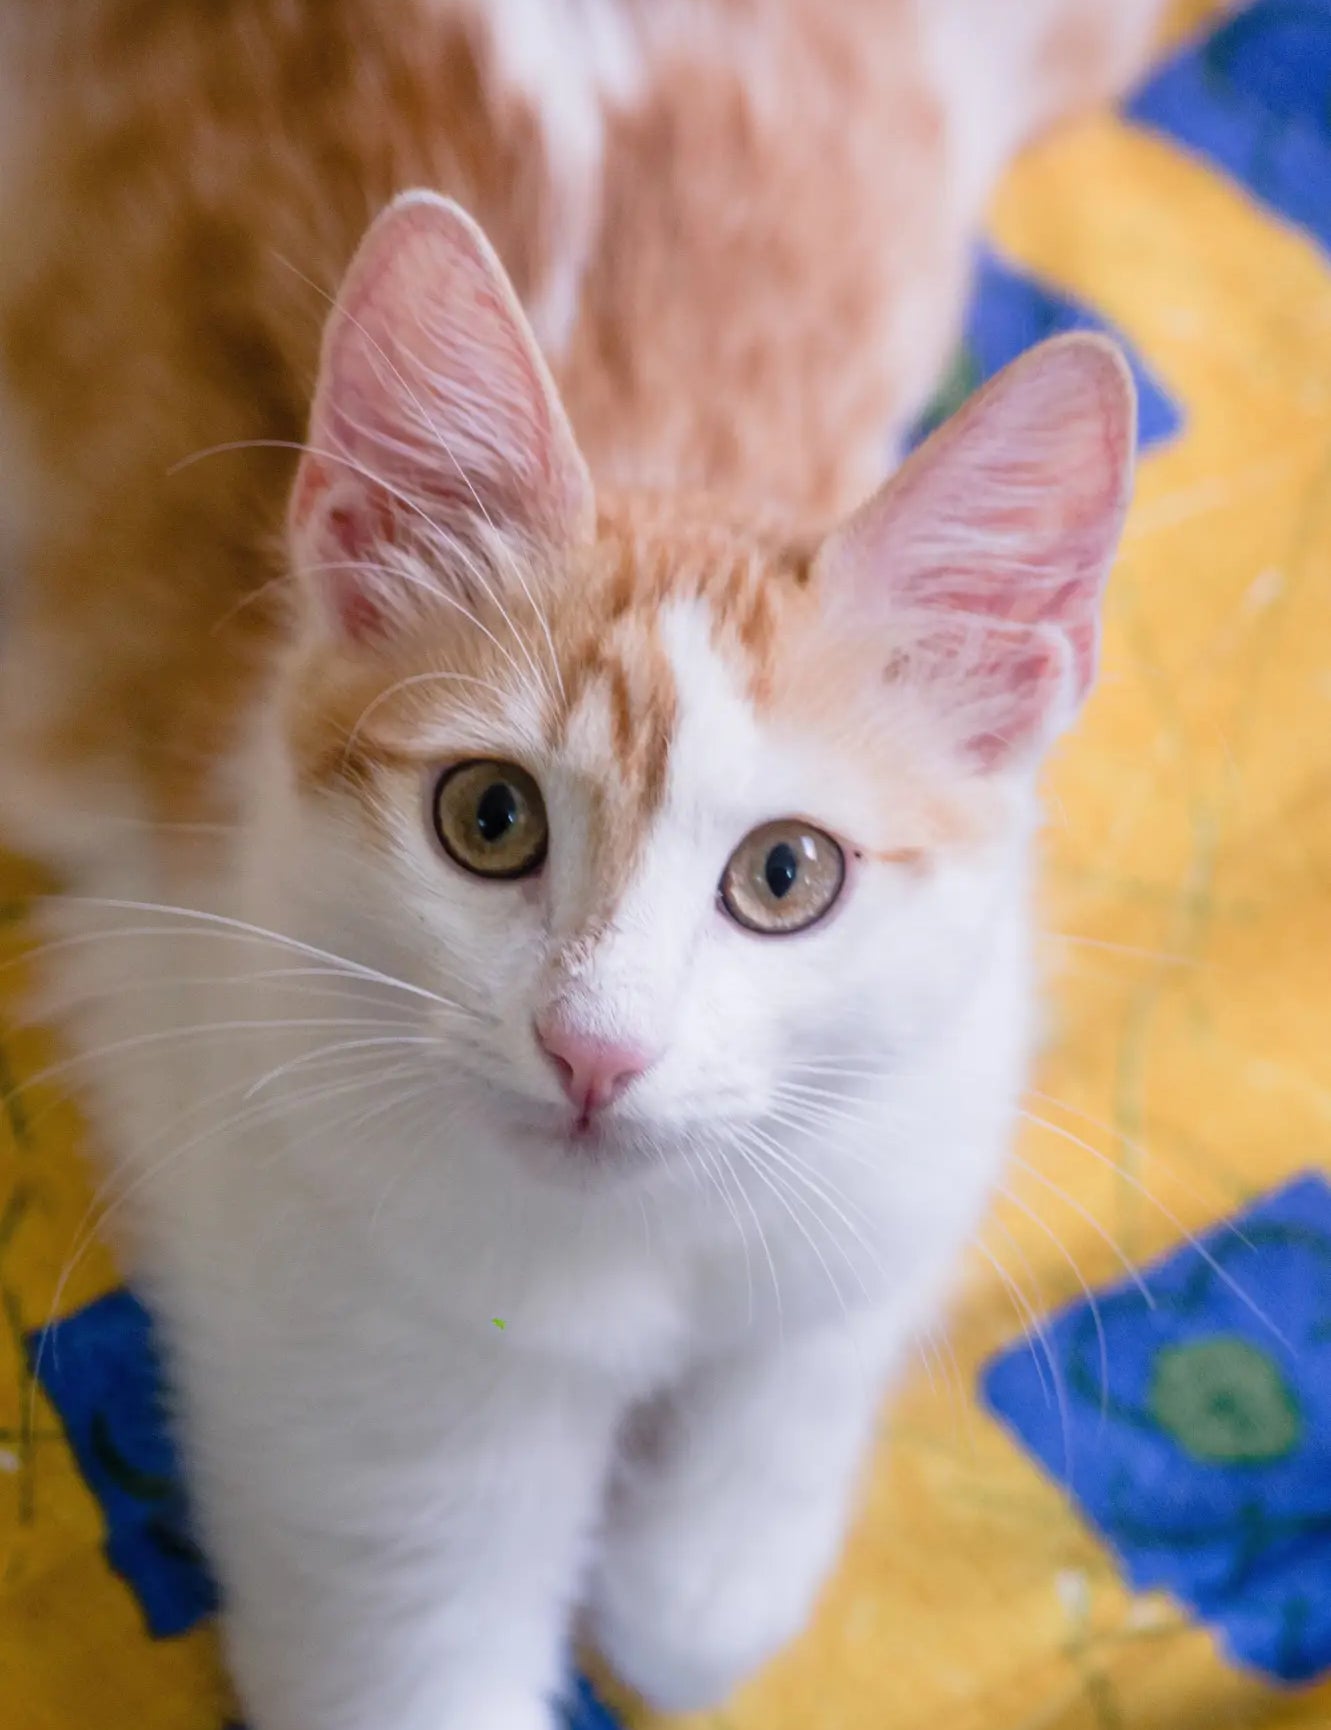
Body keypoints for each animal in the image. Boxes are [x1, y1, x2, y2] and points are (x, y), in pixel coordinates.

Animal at [0, 3, 1149, 1730]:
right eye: (488, 819)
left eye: (786, 873)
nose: (592, 1050)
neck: (636, 1251)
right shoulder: (337, 1304)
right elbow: (421, 1653)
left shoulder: (936, 1100)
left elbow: (788, 1400)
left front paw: (699, 1567)